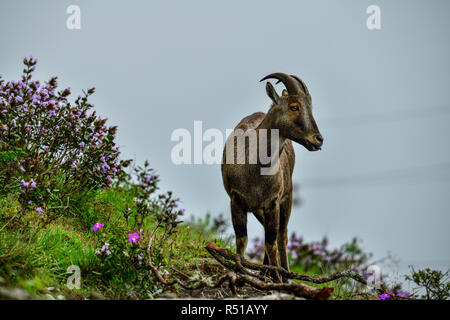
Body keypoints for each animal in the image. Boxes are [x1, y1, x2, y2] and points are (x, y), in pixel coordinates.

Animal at [221, 72, 320, 280]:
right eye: (294, 106)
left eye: (310, 107)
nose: (318, 139)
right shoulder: (236, 200)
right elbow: (242, 239)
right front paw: (238, 270)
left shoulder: (273, 203)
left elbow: (271, 242)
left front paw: (277, 278)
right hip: (259, 208)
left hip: (287, 198)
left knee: (282, 236)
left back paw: (284, 274)